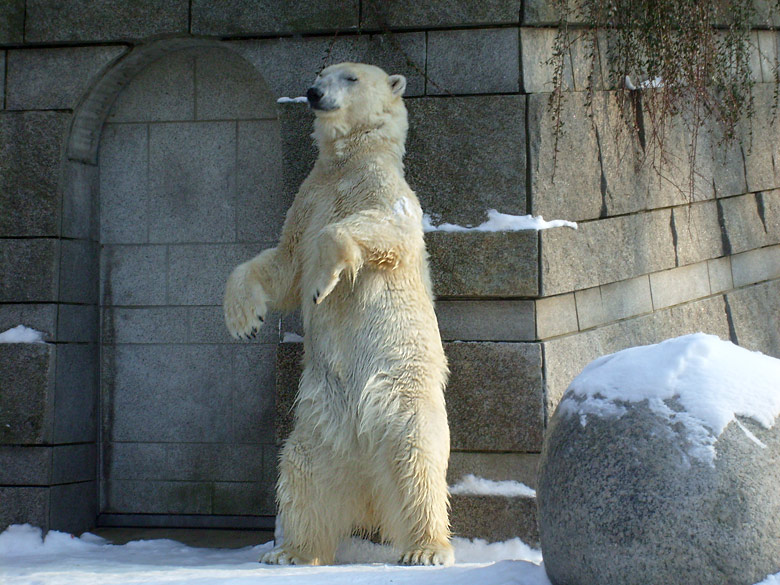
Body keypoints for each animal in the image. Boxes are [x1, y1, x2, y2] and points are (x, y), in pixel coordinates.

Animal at [222, 61, 454, 564]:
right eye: (321, 72)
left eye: (351, 78)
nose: (313, 93)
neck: (346, 164)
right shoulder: (308, 200)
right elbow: (284, 264)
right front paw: (245, 322)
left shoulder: (384, 191)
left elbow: (384, 230)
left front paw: (324, 283)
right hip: (320, 416)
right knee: (303, 473)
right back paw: (292, 551)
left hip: (403, 395)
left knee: (417, 460)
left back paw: (426, 548)